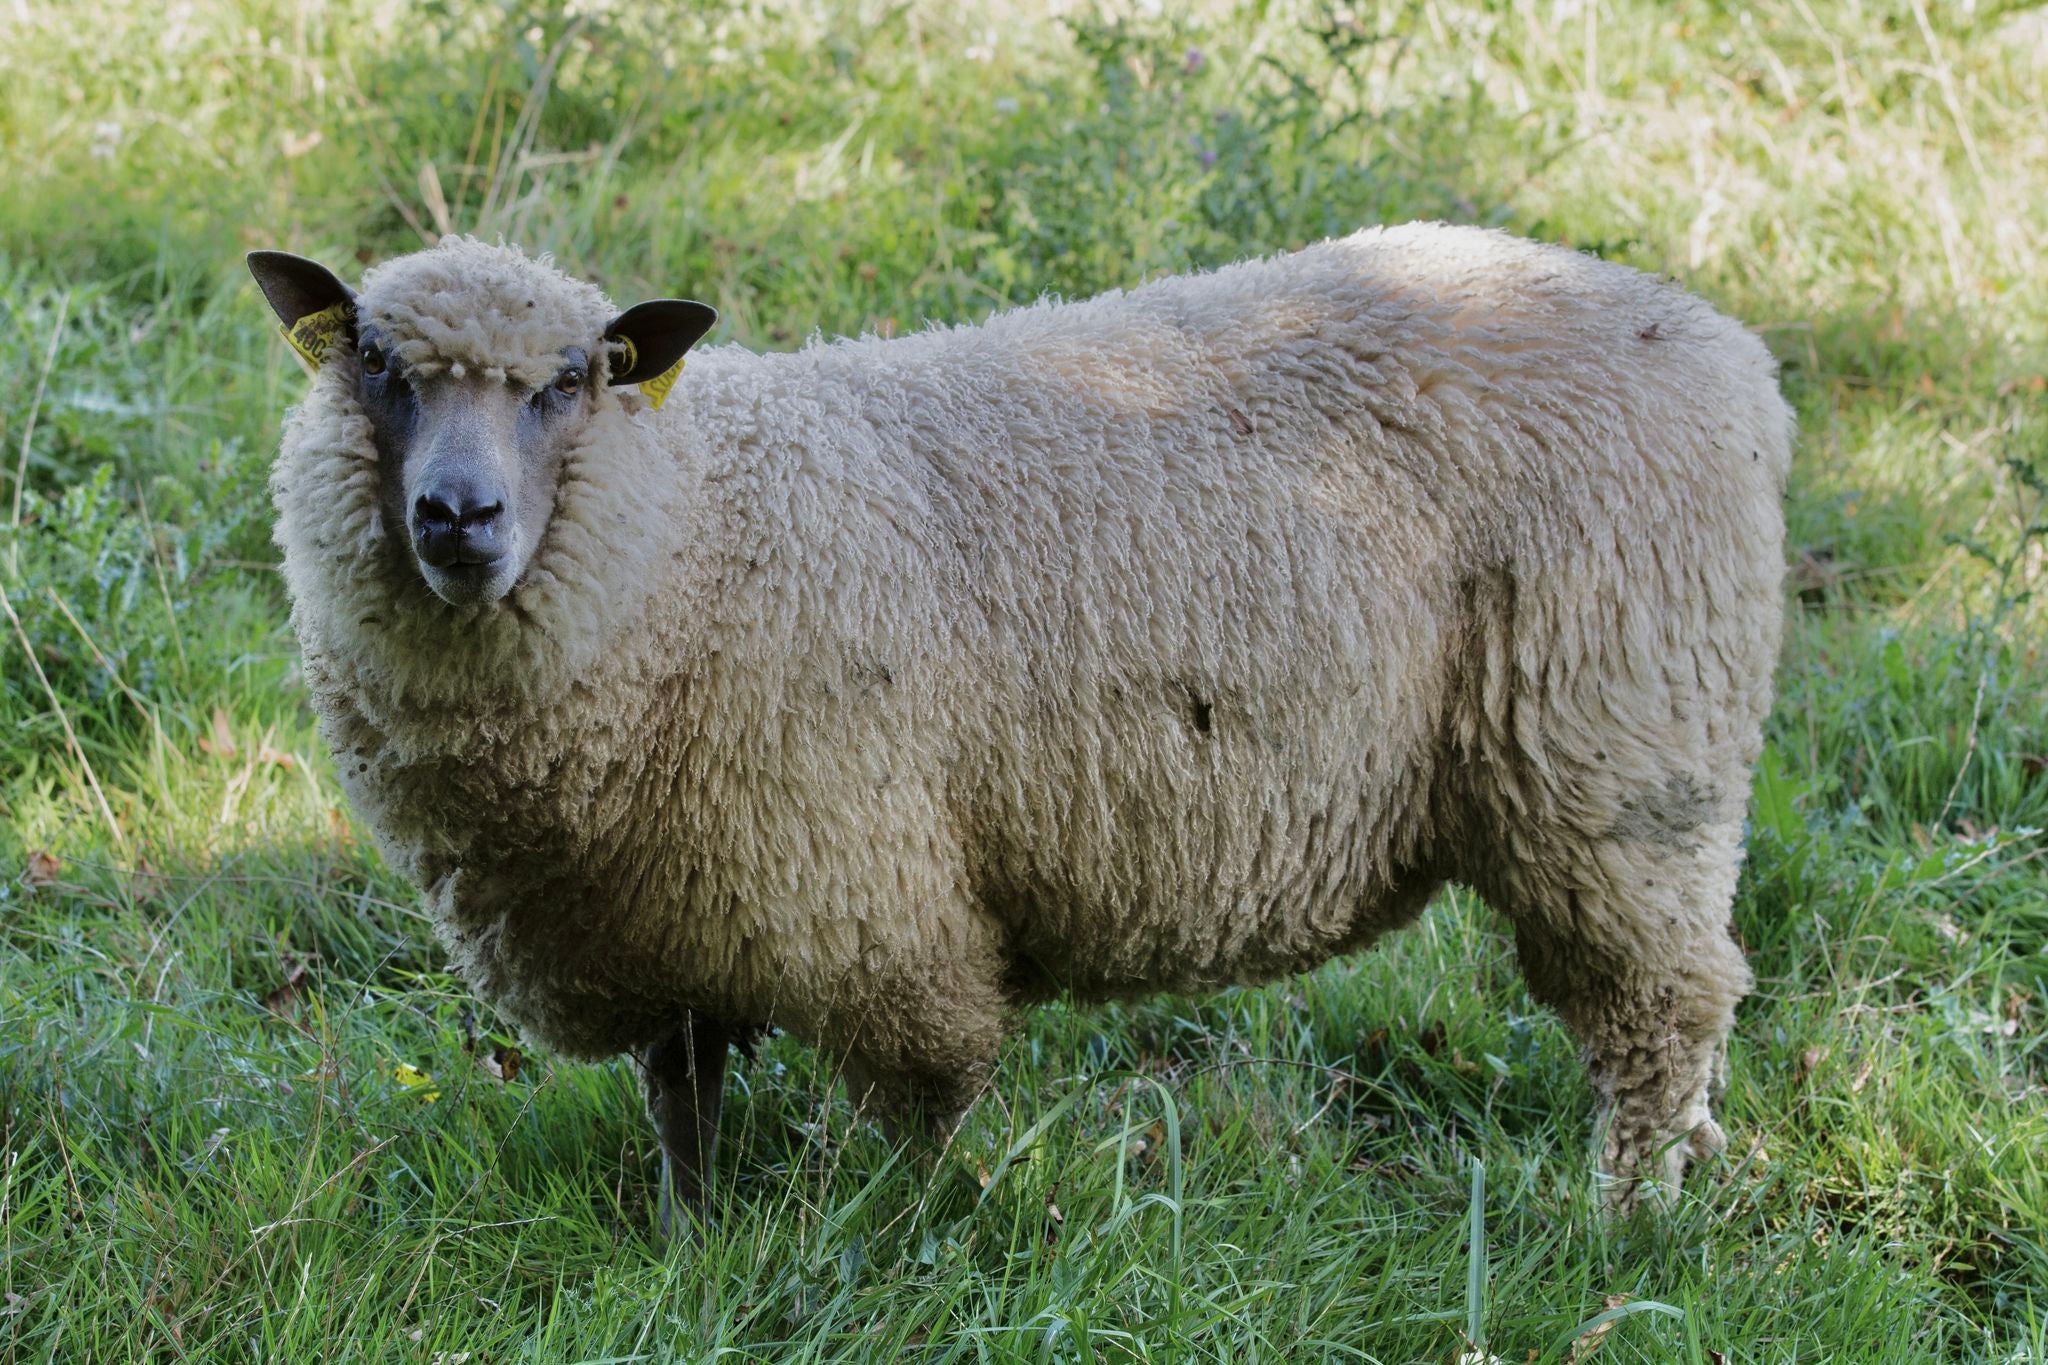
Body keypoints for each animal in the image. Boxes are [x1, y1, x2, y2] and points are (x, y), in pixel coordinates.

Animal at [249, 225, 1791, 1233]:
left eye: (569, 381)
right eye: (374, 363)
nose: (459, 518)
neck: (696, 528)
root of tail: (1724, 351)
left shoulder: (869, 901)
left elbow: (918, 1109)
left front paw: (905, 1246)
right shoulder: (665, 924)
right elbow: (683, 1102)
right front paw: (695, 1247)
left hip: (1621, 758)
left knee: (1663, 1005)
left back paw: (1625, 1217)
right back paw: (1690, 1176)